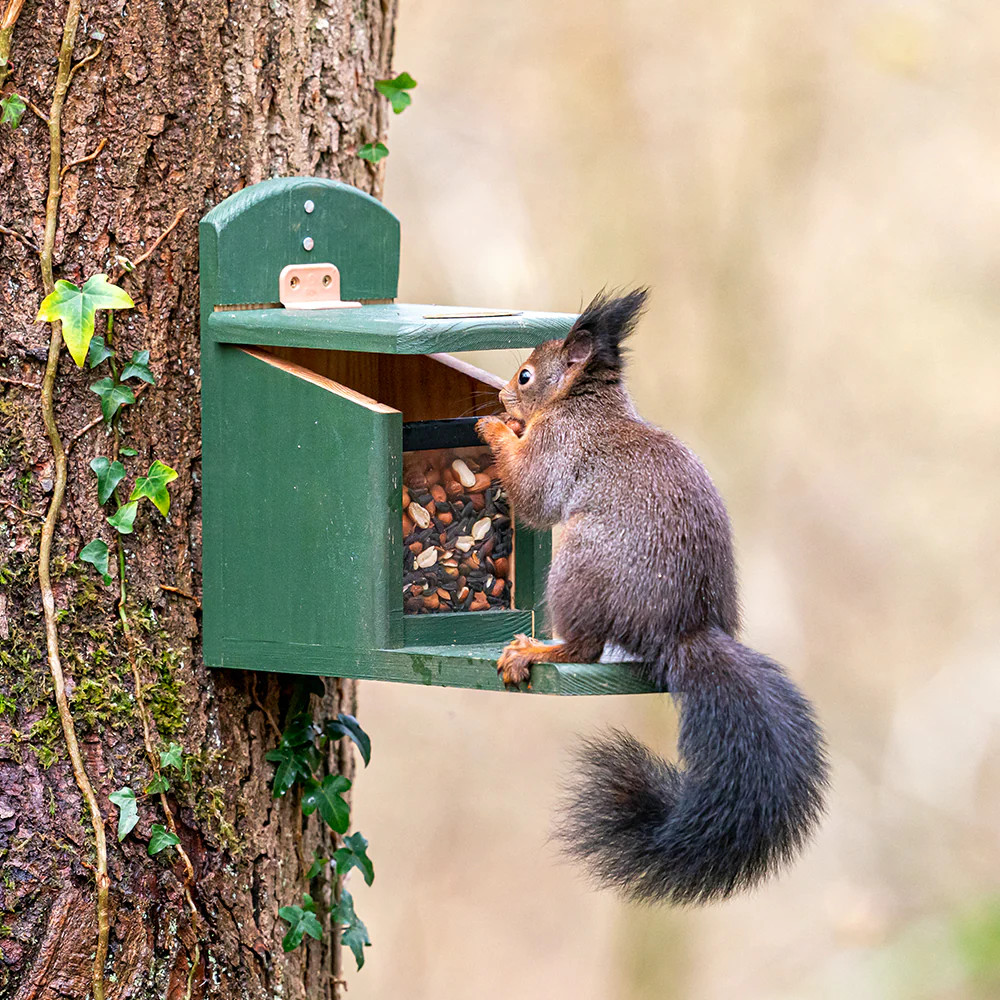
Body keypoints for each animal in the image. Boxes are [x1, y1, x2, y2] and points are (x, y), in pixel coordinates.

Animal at [475, 290, 828, 905]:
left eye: (525, 376)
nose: (499, 393)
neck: (585, 405)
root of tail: (684, 631)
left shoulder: (559, 446)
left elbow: (533, 493)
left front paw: (495, 428)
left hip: (578, 566)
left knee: (586, 647)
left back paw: (535, 651)